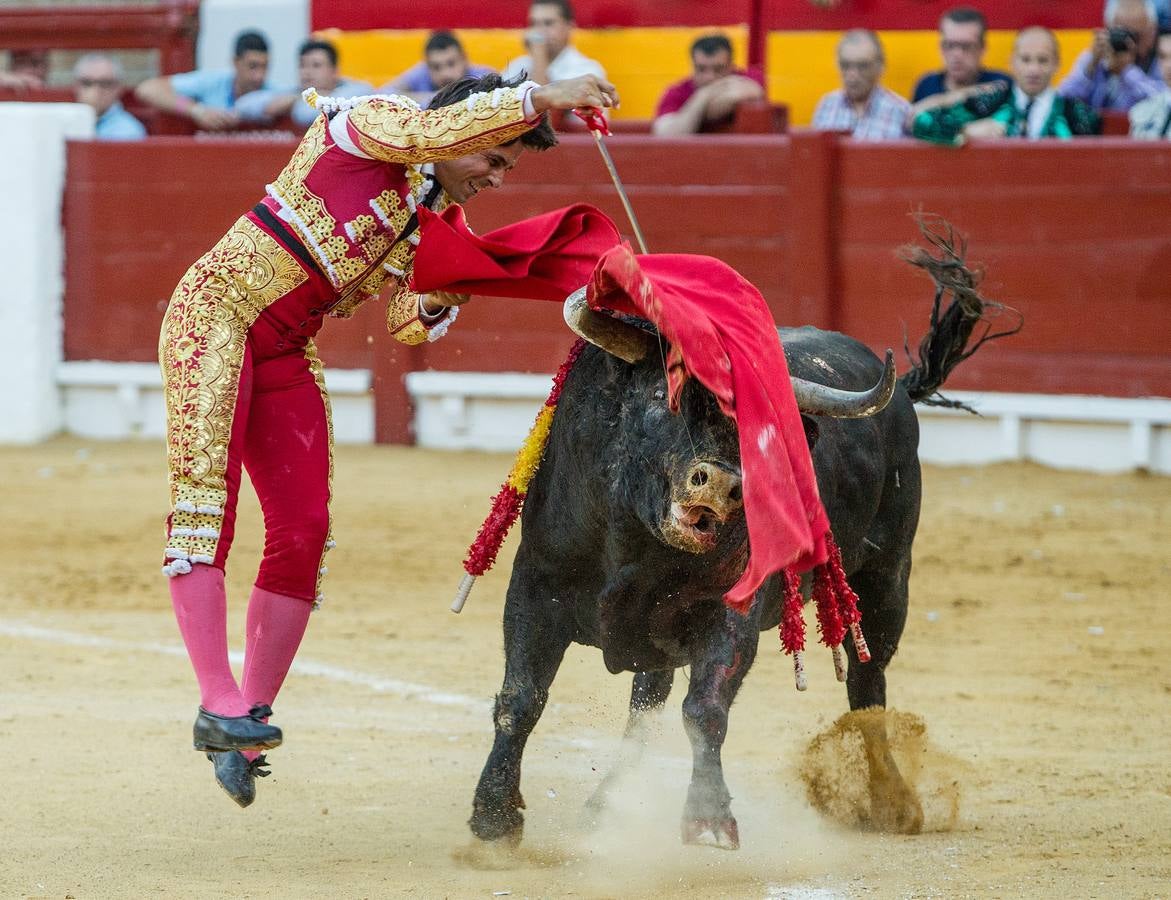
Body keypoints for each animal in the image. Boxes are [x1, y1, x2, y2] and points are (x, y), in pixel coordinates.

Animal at [466, 222, 1016, 852]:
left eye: (754, 424)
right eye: (661, 396)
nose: (723, 483)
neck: (635, 546)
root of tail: (900, 398)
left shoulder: (731, 611)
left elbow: (705, 709)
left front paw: (708, 818)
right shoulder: (536, 585)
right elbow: (521, 697)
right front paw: (494, 817)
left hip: (886, 579)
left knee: (867, 680)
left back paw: (888, 804)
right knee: (646, 701)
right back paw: (606, 805)